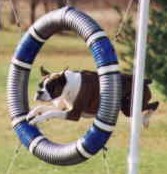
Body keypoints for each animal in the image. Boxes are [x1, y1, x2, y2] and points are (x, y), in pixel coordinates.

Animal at [26, 66, 159, 127]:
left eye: (50, 87)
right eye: (40, 85)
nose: (39, 92)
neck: (67, 85)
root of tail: (144, 80)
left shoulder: (73, 114)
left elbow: (50, 113)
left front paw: (37, 120)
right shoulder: (63, 108)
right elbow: (42, 108)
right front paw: (31, 114)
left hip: (128, 107)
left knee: (155, 104)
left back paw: (145, 119)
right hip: (127, 108)